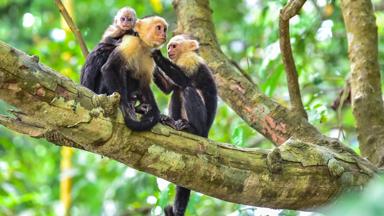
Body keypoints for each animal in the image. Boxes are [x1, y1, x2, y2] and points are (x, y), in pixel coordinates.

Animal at [152, 34, 218, 215]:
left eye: (173, 46)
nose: (168, 51)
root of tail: (206, 133)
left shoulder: (191, 60)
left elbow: (184, 80)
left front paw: (157, 56)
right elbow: (169, 88)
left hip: (203, 126)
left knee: (187, 88)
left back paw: (192, 129)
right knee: (176, 92)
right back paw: (171, 122)